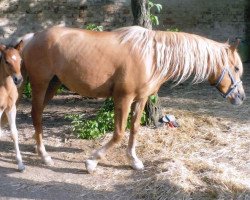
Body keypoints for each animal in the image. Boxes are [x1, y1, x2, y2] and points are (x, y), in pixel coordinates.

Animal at [17, 26, 246, 173]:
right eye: (236, 68)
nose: (241, 97)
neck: (152, 57)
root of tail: (32, 37)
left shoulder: (141, 99)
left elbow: (134, 129)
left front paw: (133, 160)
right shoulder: (124, 98)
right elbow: (119, 133)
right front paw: (92, 162)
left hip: (53, 85)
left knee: (37, 114)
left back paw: (38, 149)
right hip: (41, 84)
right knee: (36, 114)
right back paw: (45, 156)